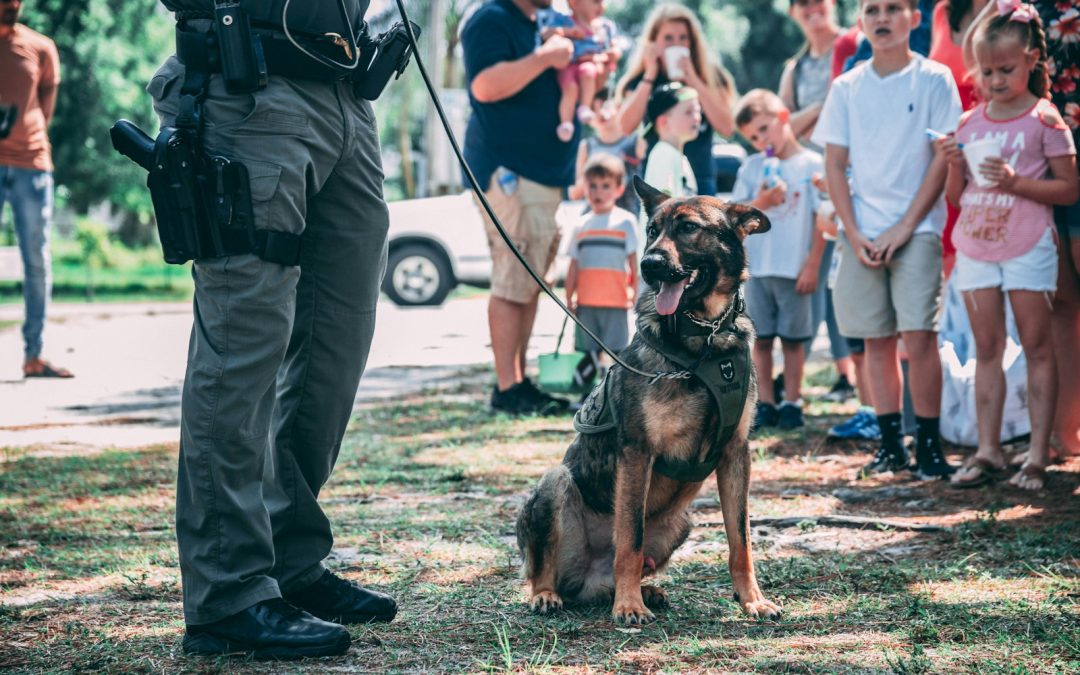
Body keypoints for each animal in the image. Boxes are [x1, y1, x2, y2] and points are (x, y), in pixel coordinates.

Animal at [516, 176, 781, 622]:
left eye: (689, 228)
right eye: (652, 230)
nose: (648, 264)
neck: (704, 339)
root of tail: (588, 579)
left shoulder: (735, 454)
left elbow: (740, 540)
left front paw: (752, 600)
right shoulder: (638, 452)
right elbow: (630, 539)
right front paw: (628, 606)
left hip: (682, 521)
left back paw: (646, 590)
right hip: (555, 483)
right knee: (545, 569)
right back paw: (551, 594)